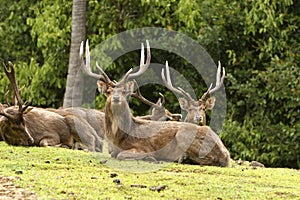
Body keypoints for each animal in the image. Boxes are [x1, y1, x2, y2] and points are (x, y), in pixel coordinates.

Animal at [79, 39, 230, 166]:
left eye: (123, 91)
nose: (116, 98)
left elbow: (122, 155)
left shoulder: (143, 147)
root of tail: (225, 153)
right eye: (109, 91)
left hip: (184, 135)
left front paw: (150, 157)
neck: (120, 136)